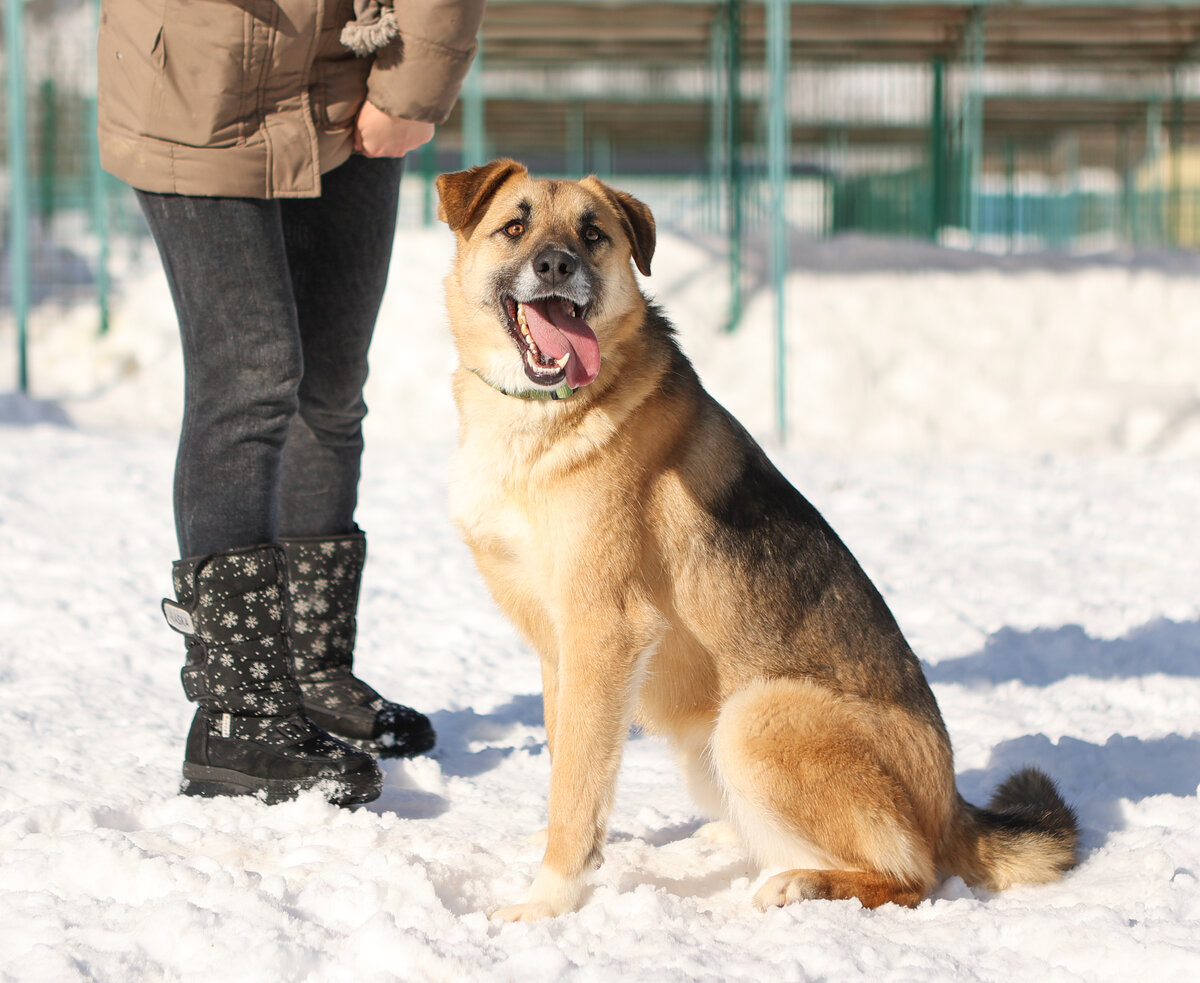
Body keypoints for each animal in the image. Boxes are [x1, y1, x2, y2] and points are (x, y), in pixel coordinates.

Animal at [434, 159, 1080, 921]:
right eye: (515, 226)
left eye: (593, 235)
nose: (558, 263)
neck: (538, 417)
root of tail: (953, 808)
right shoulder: (557, 645)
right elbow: (569, 762)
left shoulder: (604, 631)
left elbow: (578, 787)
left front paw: (546, 902)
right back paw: (738, 839)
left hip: (756, 715)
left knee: (911, 876)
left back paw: (800, 882)